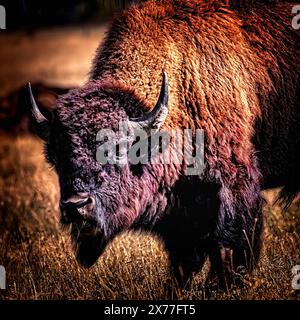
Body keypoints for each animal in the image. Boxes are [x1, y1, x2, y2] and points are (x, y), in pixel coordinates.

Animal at [28, 0, 300, 288]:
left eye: (115, 150)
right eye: (56, 157)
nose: (76, 205)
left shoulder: (234, 188)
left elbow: (229, 247)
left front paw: (223, 286)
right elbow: (183, 257)